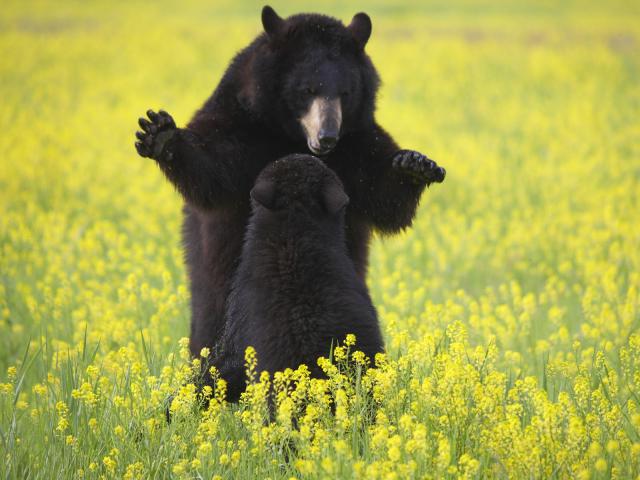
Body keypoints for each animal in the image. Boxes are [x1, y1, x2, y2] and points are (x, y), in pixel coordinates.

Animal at [135, 3, 444, 356]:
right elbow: (213, 168)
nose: (327, 137)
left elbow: (384, 195)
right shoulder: (242, 122)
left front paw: (414, 165)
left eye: (345, 92)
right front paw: (161, 135)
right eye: (308, 89)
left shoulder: (356, 142)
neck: (290, 136)